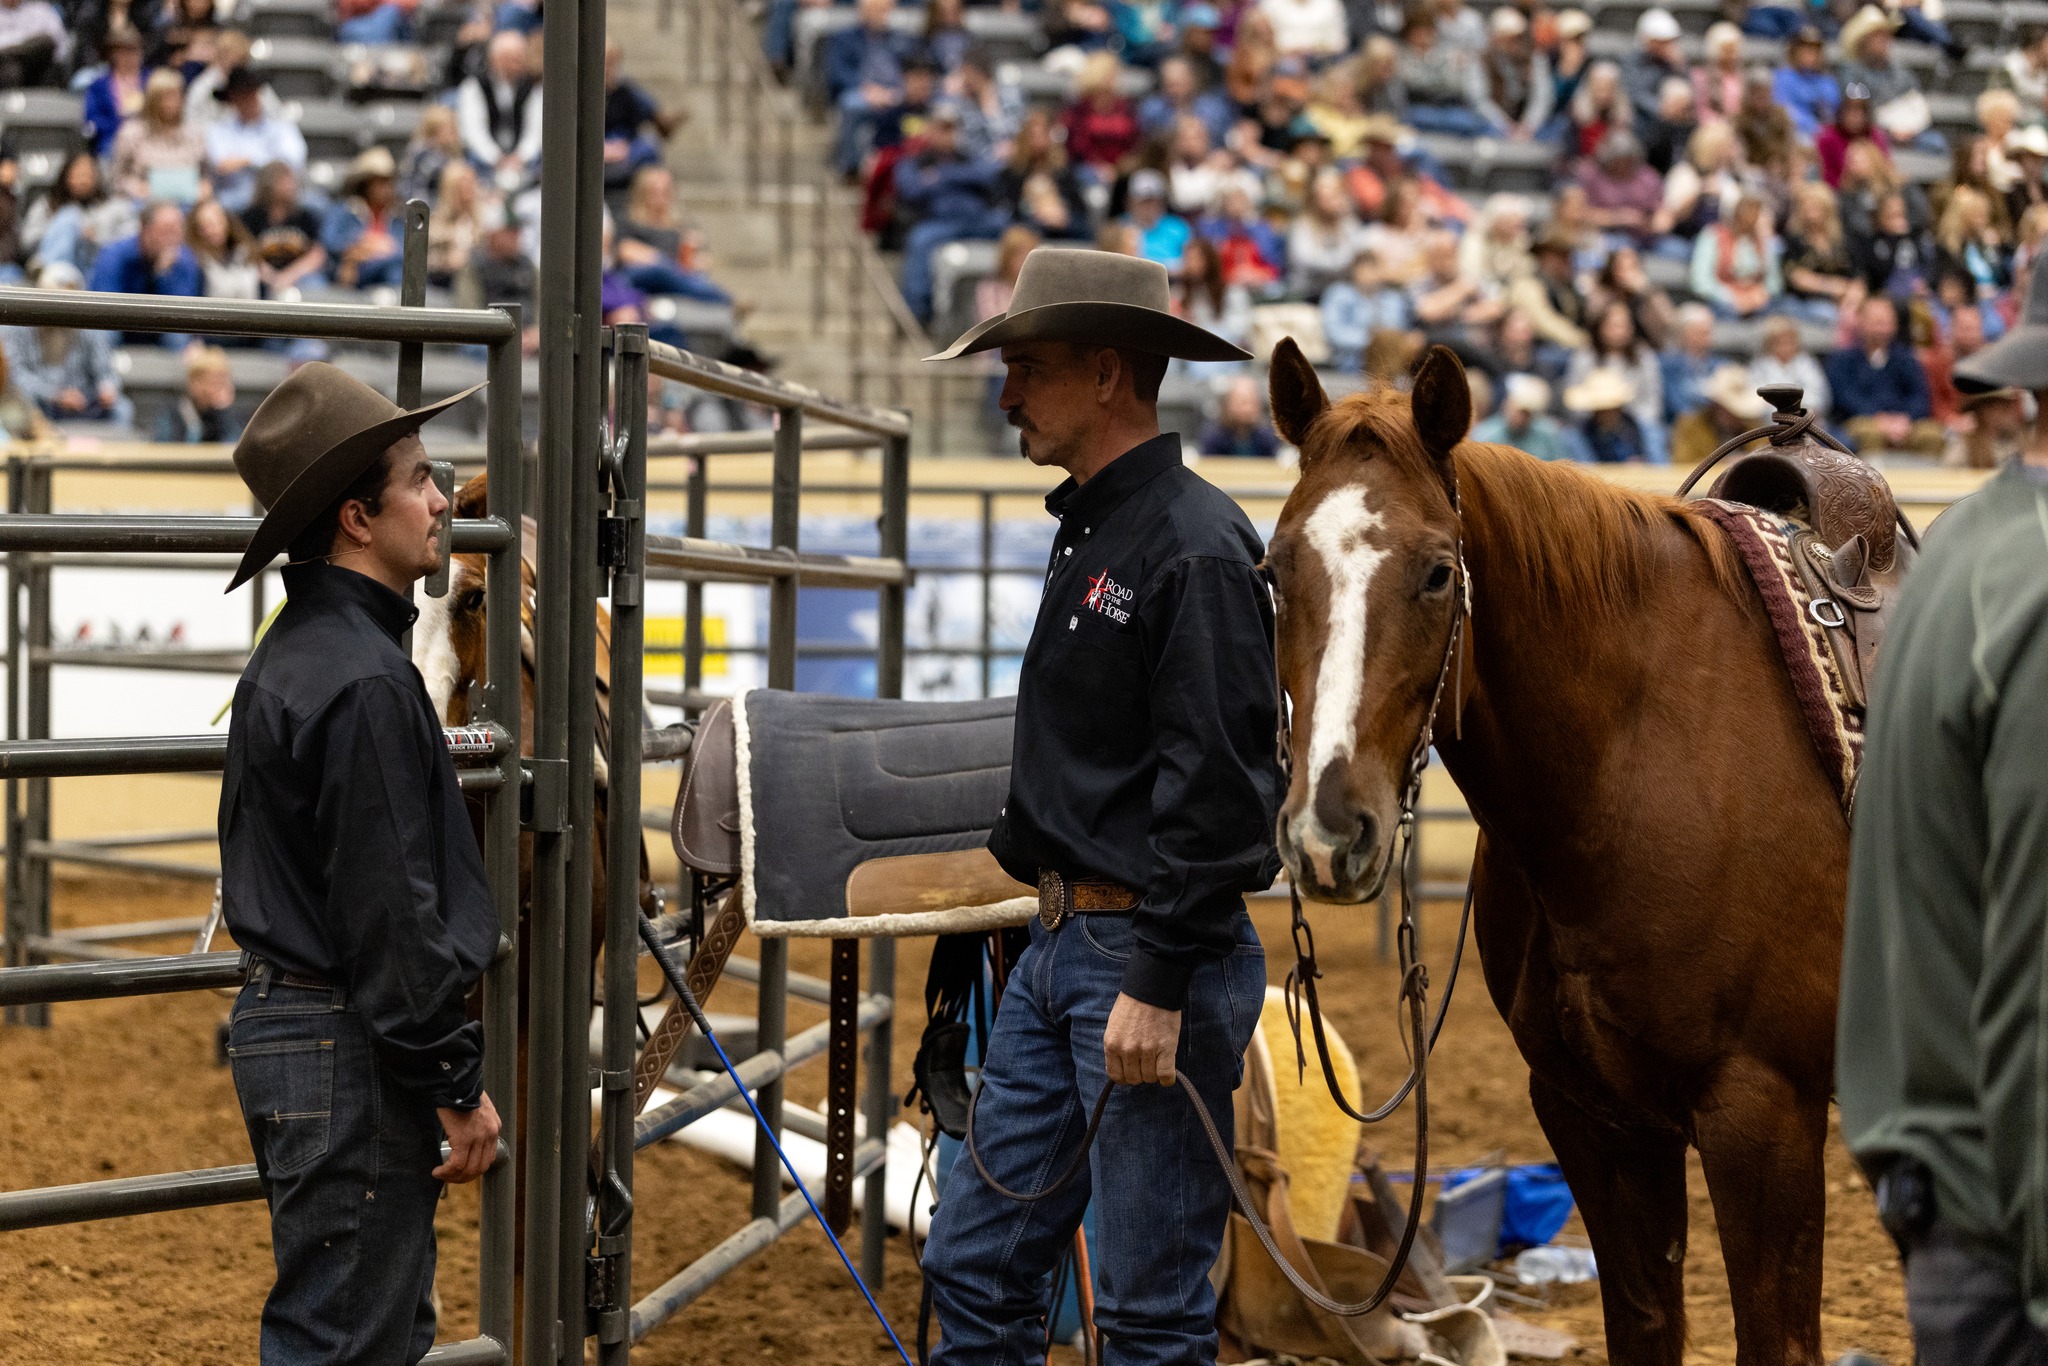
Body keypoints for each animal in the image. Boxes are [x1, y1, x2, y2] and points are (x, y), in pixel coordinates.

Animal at [1264, 340, 1845, 1365]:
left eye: (1437, 573)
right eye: (1273, 568)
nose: (1329, 831)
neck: (1636, 764)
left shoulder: (1766, 1117)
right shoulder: (1593, 1117)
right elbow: (1644, 1327)